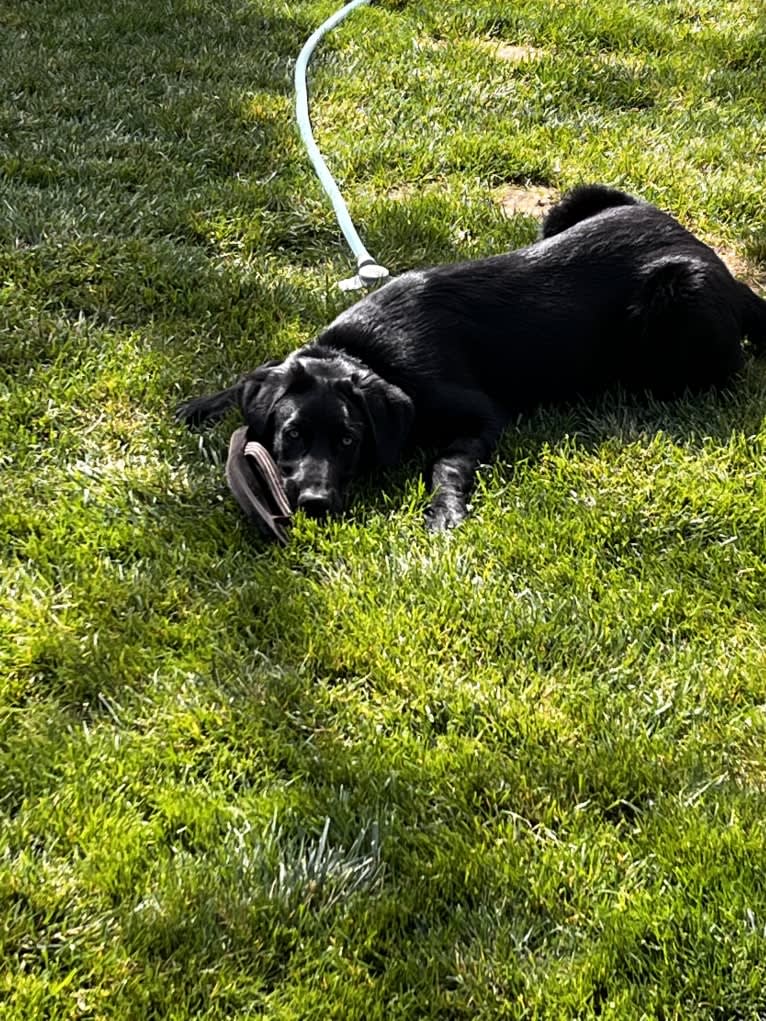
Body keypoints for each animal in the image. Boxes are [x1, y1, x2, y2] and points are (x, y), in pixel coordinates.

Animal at [176, 185, 763, 535]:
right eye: (292, 434)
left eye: (348, 441)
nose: (316, 502)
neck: (367, 353)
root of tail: (721, 267)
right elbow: (249, 379)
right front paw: (205, 403)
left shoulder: (482, 417)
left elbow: (446, 463)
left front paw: (443, 510)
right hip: (580, 201)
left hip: (680, 294)